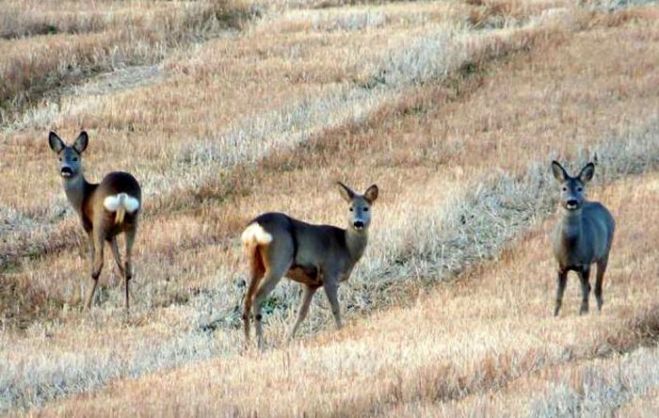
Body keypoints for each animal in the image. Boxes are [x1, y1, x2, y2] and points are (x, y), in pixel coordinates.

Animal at [48, 131, 142, 314]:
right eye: (60, 158)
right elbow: (119, 265)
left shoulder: (89, 228)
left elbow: (93, 259)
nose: (65, 169)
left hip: (100, 223)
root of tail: (121, 195)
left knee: (99, 264)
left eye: (75, 157)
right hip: (132, 222)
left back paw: (86, 305)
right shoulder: (111, 235)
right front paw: (133, 298)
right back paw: (127, 306)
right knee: (127, 263)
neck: (83, 197)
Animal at [240, 181, 378, 348]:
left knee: (247, 299)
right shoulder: (329, 274)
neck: (346, 247)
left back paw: (247, 343)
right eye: (350, 208)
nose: (358, 223)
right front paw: (341, 330)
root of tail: (255, 228)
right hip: (278, 261)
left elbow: (302, 312)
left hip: (255, 264)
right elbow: (335, 307)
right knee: (258, 298)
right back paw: (261, 344)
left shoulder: (311, 283)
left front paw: (289, 338)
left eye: (366, 208)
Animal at [548, 161, 616, 316]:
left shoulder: (585, 263)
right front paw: (555, 314)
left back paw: (599, 308)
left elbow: (585, 290)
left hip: (604, 253)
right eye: (564, 188)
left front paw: (583, 311)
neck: (571, 249)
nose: (572, 201)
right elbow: (559, 293)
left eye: (579, 188)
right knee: (590, 287)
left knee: (597, 286)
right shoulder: (561, 265)